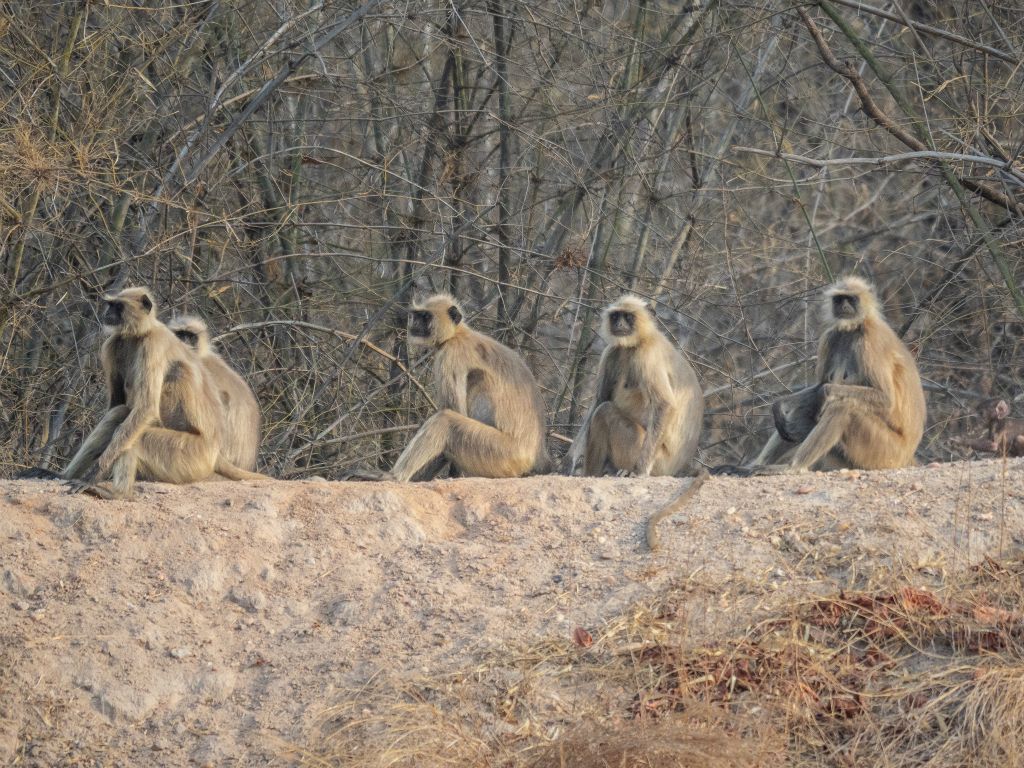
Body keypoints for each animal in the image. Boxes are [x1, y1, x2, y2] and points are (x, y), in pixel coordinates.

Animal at [389, 294, 552, 481]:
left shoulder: (451, 354)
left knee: (445, 419)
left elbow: (455, 411)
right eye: (417, 316)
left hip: (501, 453)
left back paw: (393, 476)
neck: (459, 334)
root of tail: (537, 454)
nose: (414, 325)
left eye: (426, 317)